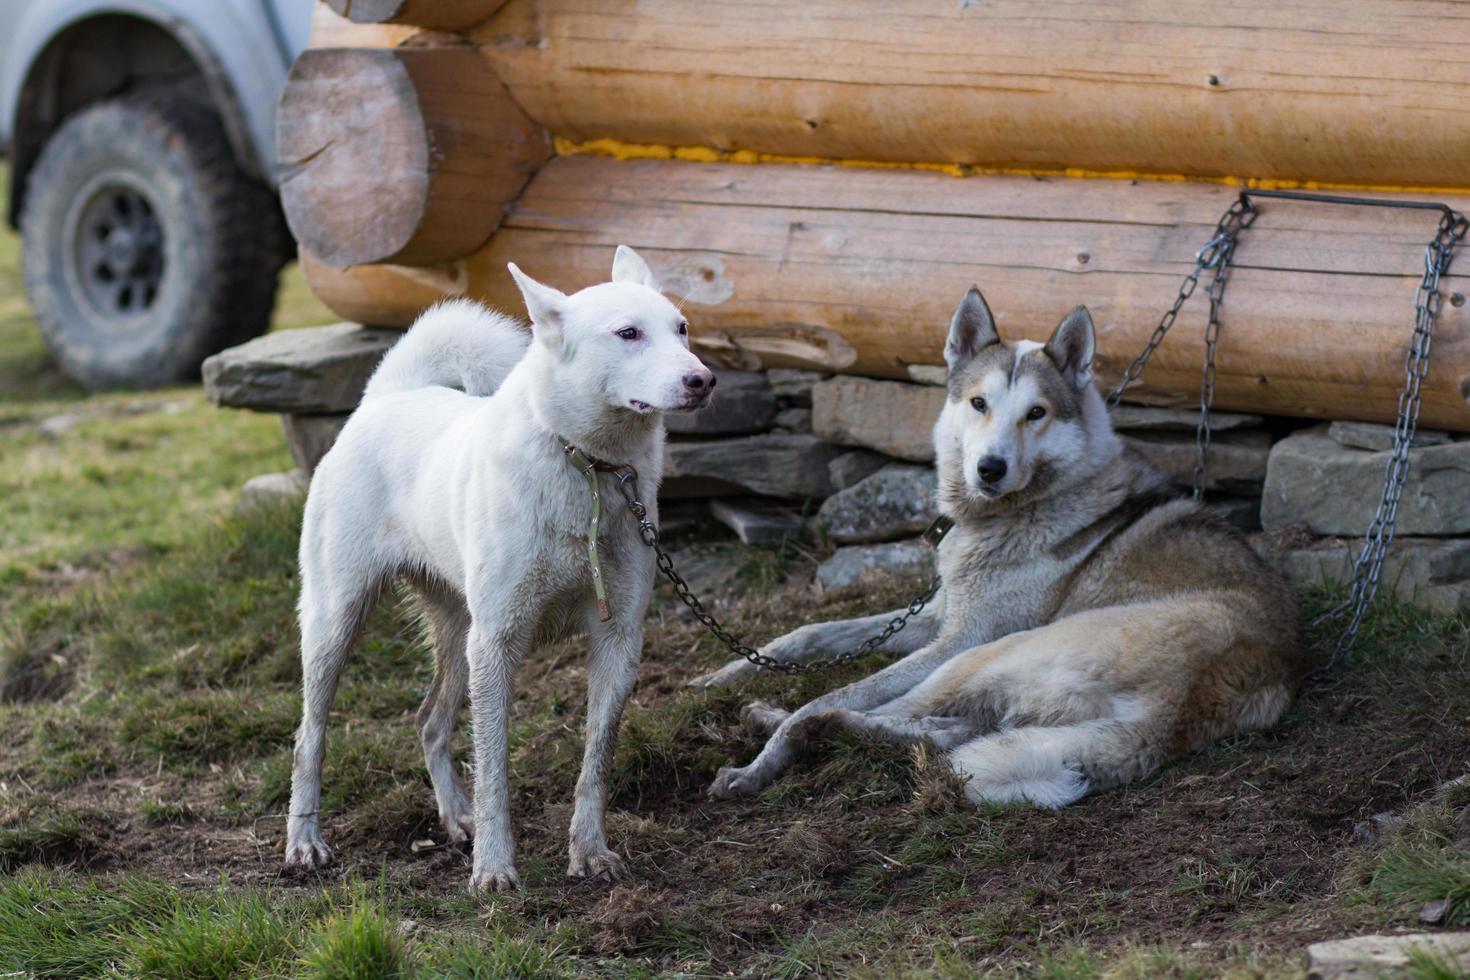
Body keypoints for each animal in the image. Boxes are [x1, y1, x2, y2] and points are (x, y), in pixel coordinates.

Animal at [285, 245, 711, 887]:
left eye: (682, 328)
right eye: (628, 333)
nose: (702, 380)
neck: (587, 468)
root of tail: (389, 395)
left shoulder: (618, 641)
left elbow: (595, 764)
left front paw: (589, 851)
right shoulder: (500, 642)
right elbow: (495, 771)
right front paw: (493, 869)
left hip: (460, 632)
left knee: (429, 722)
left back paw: (454, 817)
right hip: (338, 625)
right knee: (308, 738)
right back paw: (305, 840)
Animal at [699, 287, 1311, 811]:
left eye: (1035, 413)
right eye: (978, 403)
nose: (989, 469)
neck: (1017, 512)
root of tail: (1177, 710)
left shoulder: (956, 640)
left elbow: (838, 688)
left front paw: (758, 752)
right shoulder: (937, 619)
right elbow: (809, 634)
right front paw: (720, 677)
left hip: (984, 657)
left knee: (844, 710)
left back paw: (772, 739)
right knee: (941, 733)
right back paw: (779, 715)